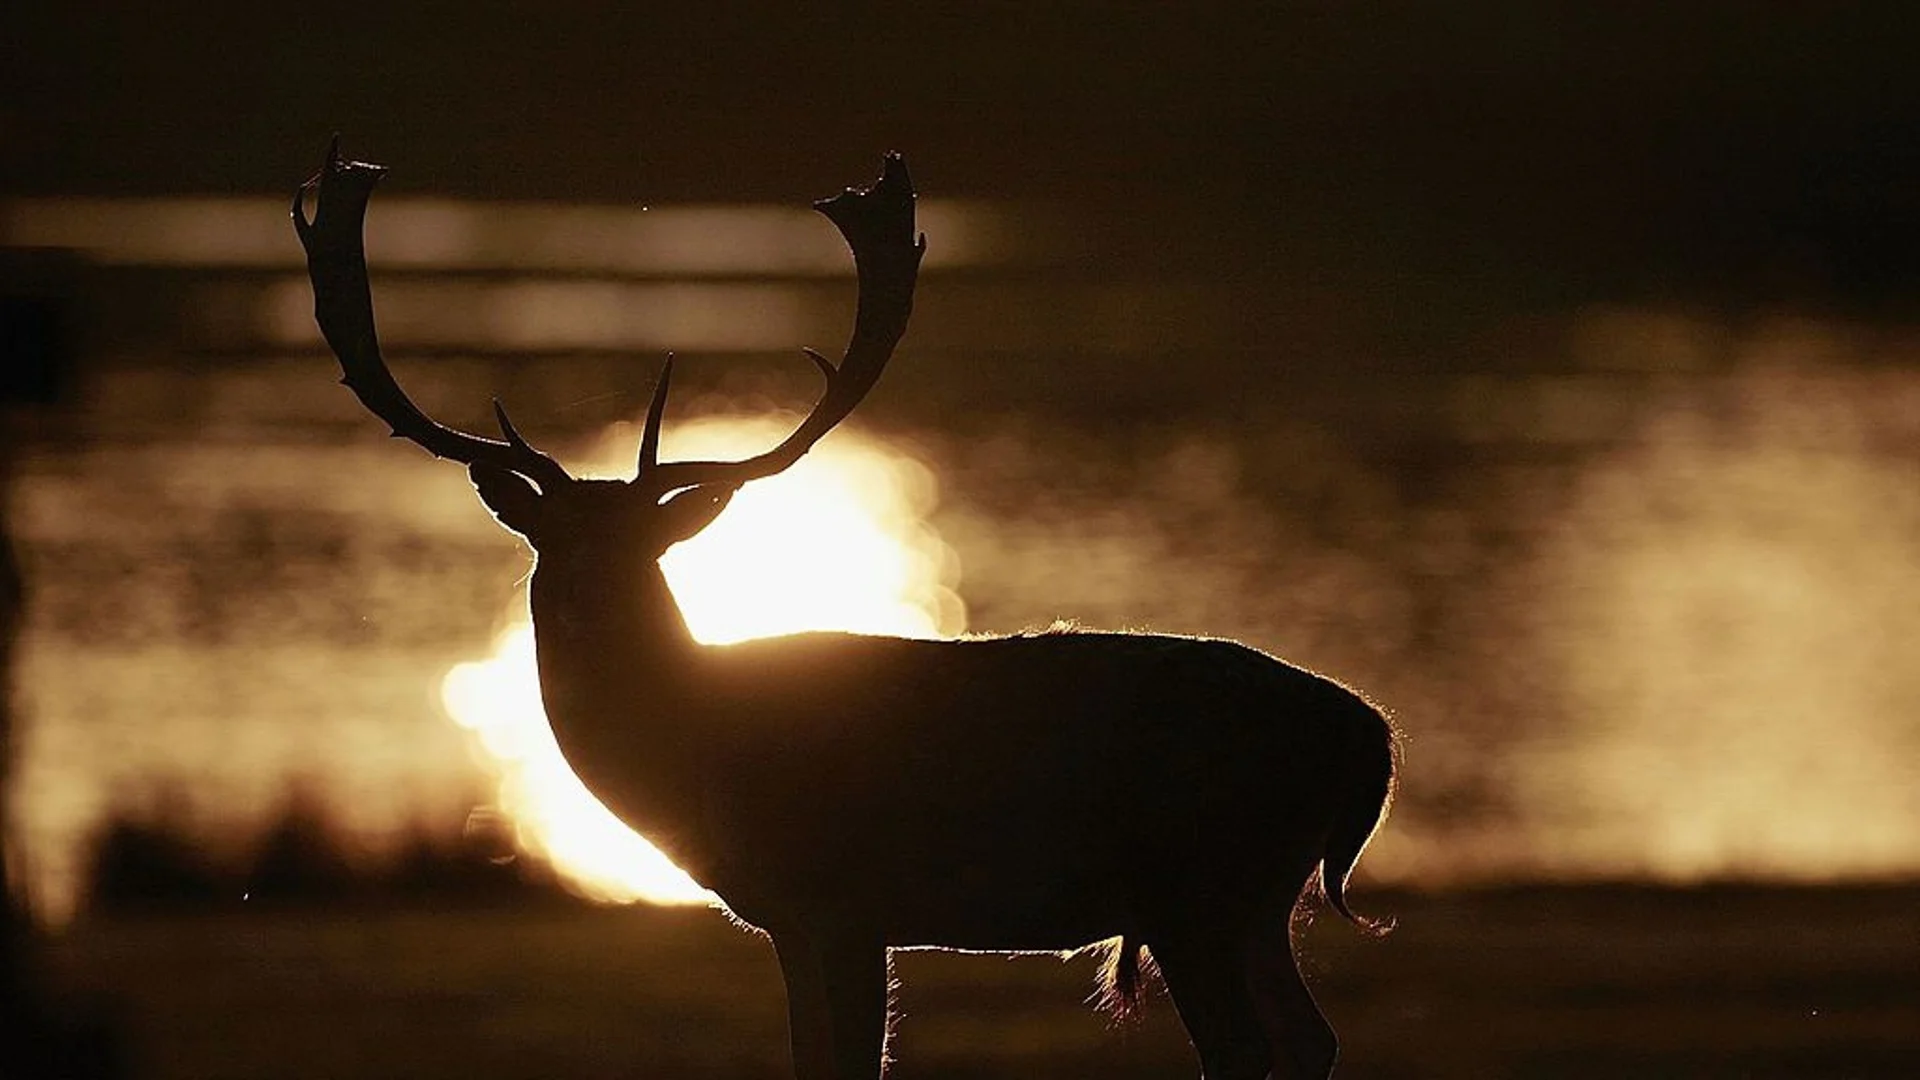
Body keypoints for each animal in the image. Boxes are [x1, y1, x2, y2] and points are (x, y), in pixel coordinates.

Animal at [288, 138, 1397, 1068]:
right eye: (546, 547)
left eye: (647, 547)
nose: (587, 607)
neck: (697, 757)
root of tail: (1372, 739)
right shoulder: (798, 915)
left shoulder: (842, 896)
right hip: (1253, 898)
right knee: (1309, 1040)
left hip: (1197, 880)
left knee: (1251, 1052)